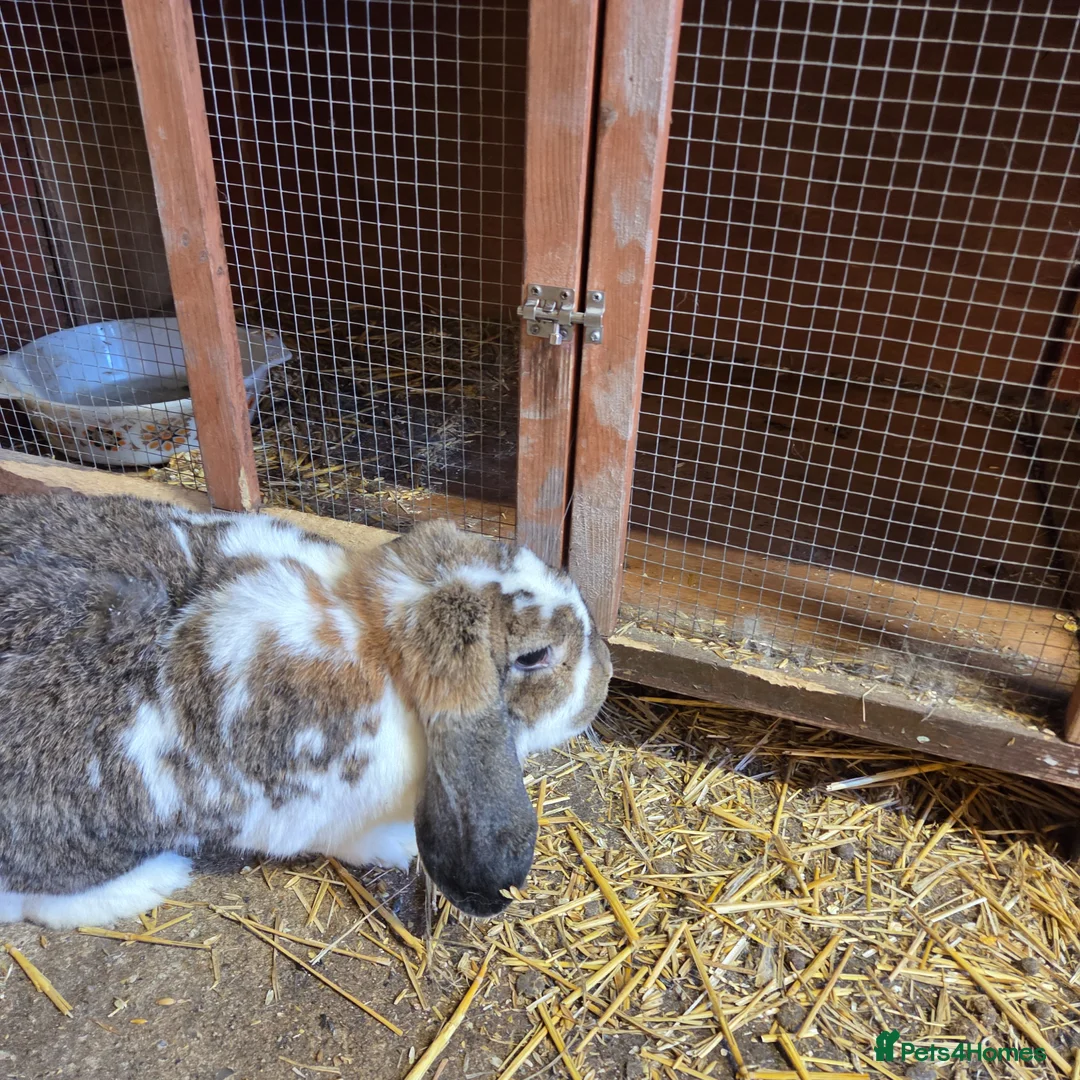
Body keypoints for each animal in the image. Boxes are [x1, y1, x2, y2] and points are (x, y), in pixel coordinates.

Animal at [0, 492, 612, 928]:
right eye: (535, 656)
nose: (605, 675)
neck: (374, 632)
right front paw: (399, 849)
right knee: (42, 901)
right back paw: (155, 879)